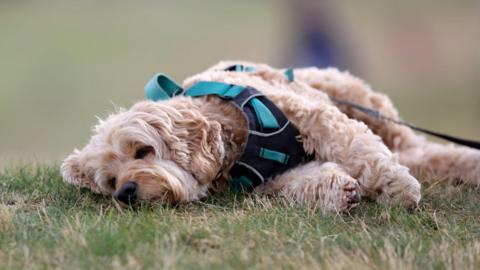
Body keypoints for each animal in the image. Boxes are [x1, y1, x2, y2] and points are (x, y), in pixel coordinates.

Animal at [61, 61, 480, 213]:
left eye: (143, 150)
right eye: (110, 180)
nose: (125, 192)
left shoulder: (315, 117)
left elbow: (359, 150)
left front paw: (398, 189)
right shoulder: (270, 181)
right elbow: (304, 182)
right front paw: (338, 190)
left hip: (364, 104)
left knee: (412, 148)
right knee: (426, 155)